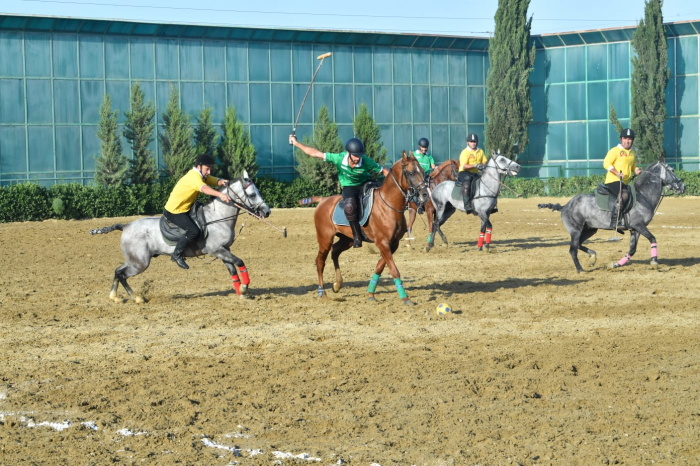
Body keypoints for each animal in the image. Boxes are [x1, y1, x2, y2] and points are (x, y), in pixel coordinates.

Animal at [90, 173, 270, 304]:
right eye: (252, 194)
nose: (267, 211)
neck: (217, 217)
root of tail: (125, 226)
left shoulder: (224, 250)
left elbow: (233, 270)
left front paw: (241, 292)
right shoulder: (217, 250)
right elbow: (240, 262)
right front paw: (245, 288)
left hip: (134, 261)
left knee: (117, 271)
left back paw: (115, 296)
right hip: (139, 263)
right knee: (122, 275)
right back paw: (137, 298)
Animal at [314, 150, 430, 306]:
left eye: (423, 171)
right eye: (411, 173)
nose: (425, 195)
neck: (389, 205)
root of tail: (323, 201)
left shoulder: (392, 244)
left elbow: (380, 267)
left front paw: (370, 293)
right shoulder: (382, 243)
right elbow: (394, 270)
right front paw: (405, 298)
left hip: (347, 239)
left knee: (335, 251)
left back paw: (337, 284)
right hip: (325, 239)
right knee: (320, 261)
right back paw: (323, 293)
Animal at [540, 159, 688, 272]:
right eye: (672, 170)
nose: (683, 187)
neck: (643, 195)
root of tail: (565, 206)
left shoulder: (635, 229)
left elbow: (632, 250)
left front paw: (615, 264)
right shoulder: (638, 225)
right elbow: (652, 238)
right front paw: (654, 262)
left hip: (589, 229)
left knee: (578, 245)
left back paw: (592, 257)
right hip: (575, 230)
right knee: (573, 249)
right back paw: (580, 269)